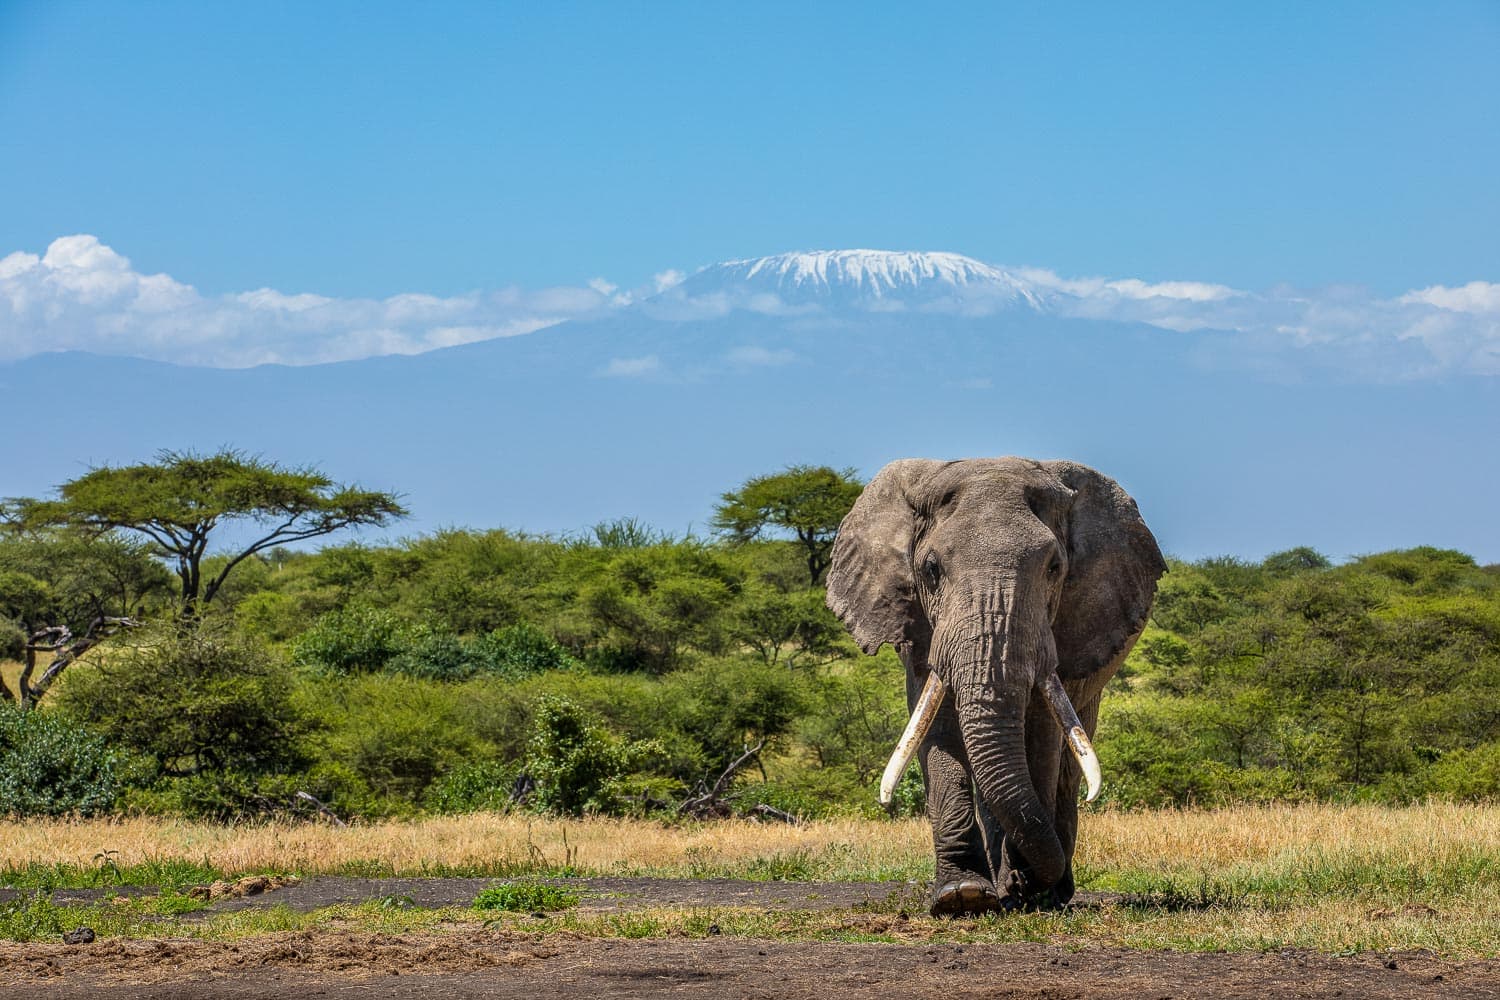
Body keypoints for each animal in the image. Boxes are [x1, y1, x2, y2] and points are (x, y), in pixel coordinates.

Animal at [825, 457, 1165, 916]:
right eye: (931, 569)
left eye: (1054, 569)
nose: (1026, 884)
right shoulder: (918, 627)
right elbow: (935, 728)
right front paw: (961, 895)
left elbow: (1040, 735)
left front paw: (1027, 890)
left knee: (1067, 765)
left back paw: (1050, 891)